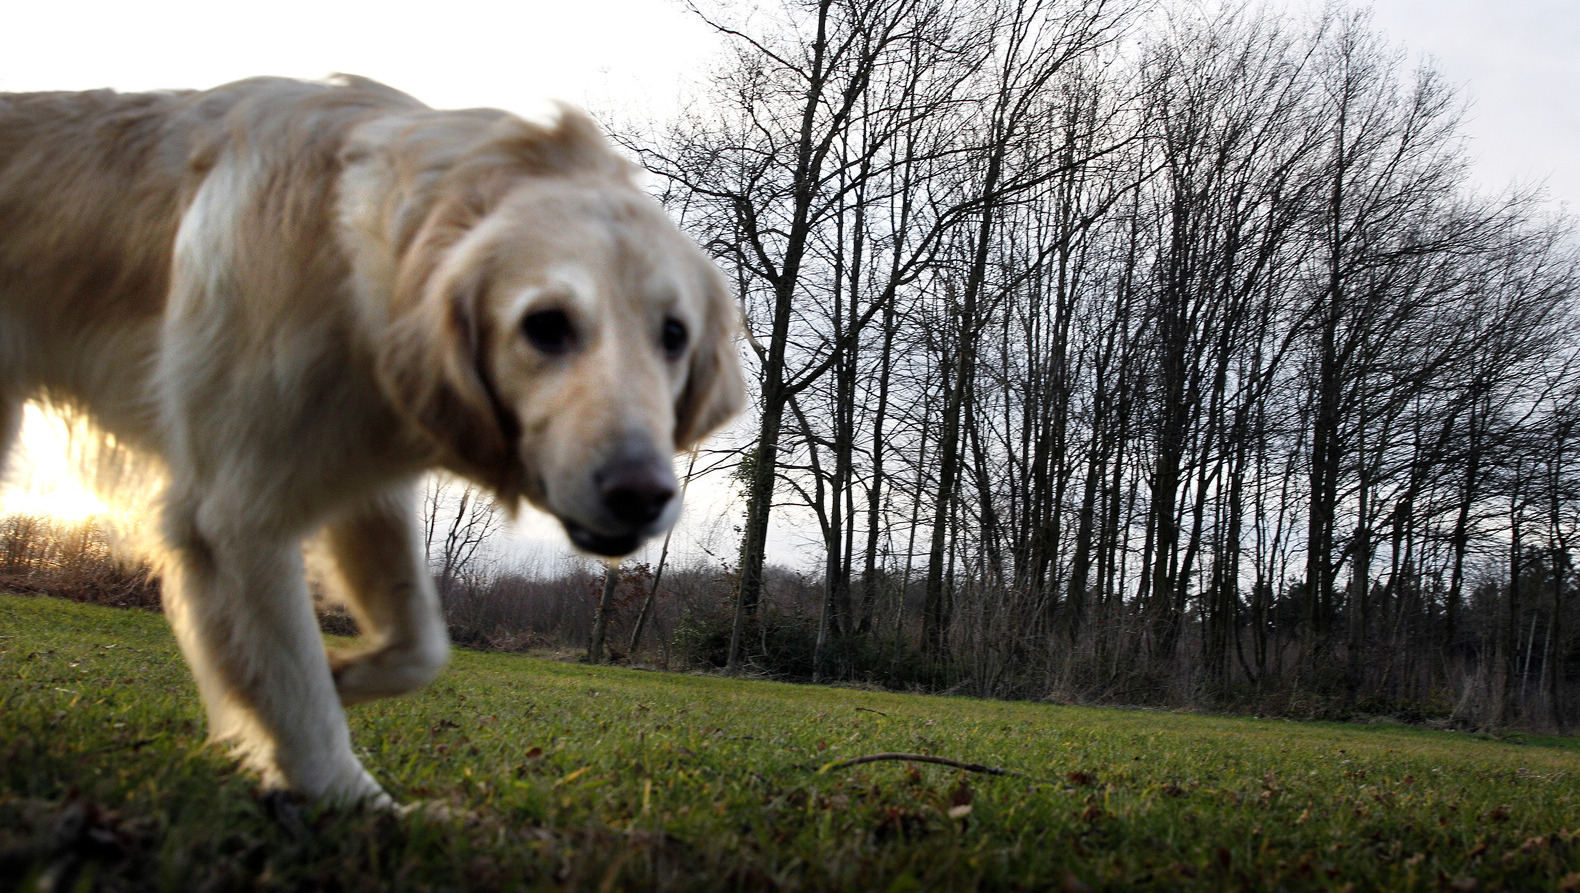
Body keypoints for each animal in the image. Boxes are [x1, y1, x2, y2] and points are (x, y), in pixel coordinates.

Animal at [0, 74, 742, 799]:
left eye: (673, 335)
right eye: (546, 325)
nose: (643, 495)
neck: (351, 270)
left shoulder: (362, 481)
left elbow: (422, 645)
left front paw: (343, 675)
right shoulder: (234, 513)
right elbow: (299, 695)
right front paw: (352, 802)